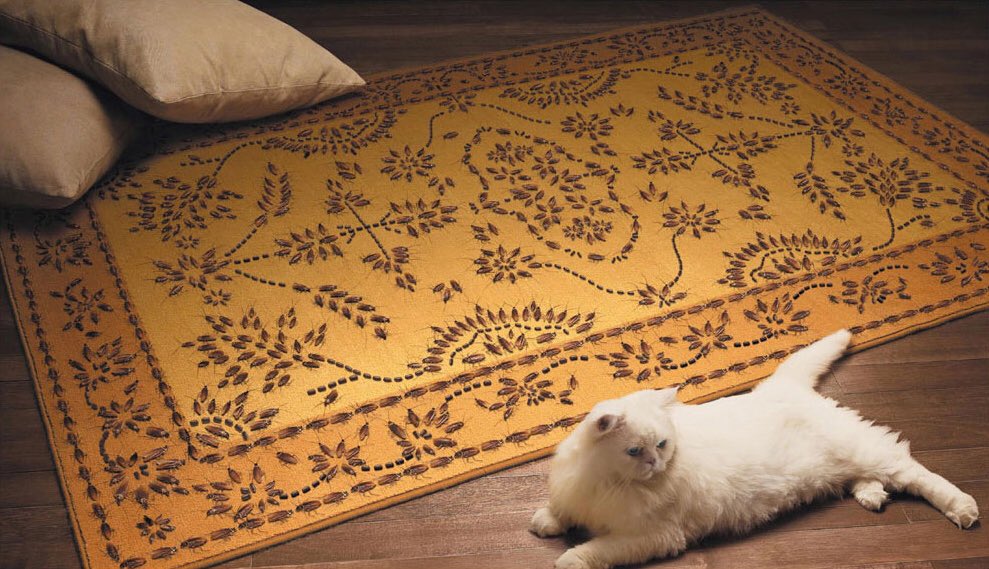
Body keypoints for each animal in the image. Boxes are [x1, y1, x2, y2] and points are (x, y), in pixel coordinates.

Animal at [529, 329, 980, 569]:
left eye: (660, 445)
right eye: (635, 451)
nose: (656, 464)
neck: (607, 482)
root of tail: (780, 386)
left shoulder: (653, 535)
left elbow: (599, 549)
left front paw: (569, 558)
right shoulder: (575, 489)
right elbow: (560, 510)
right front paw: (545, 522)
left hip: (868, 450)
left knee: (915, 472)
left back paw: (963, 509)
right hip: (845, 461)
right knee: (866, 479)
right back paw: (872, 496)